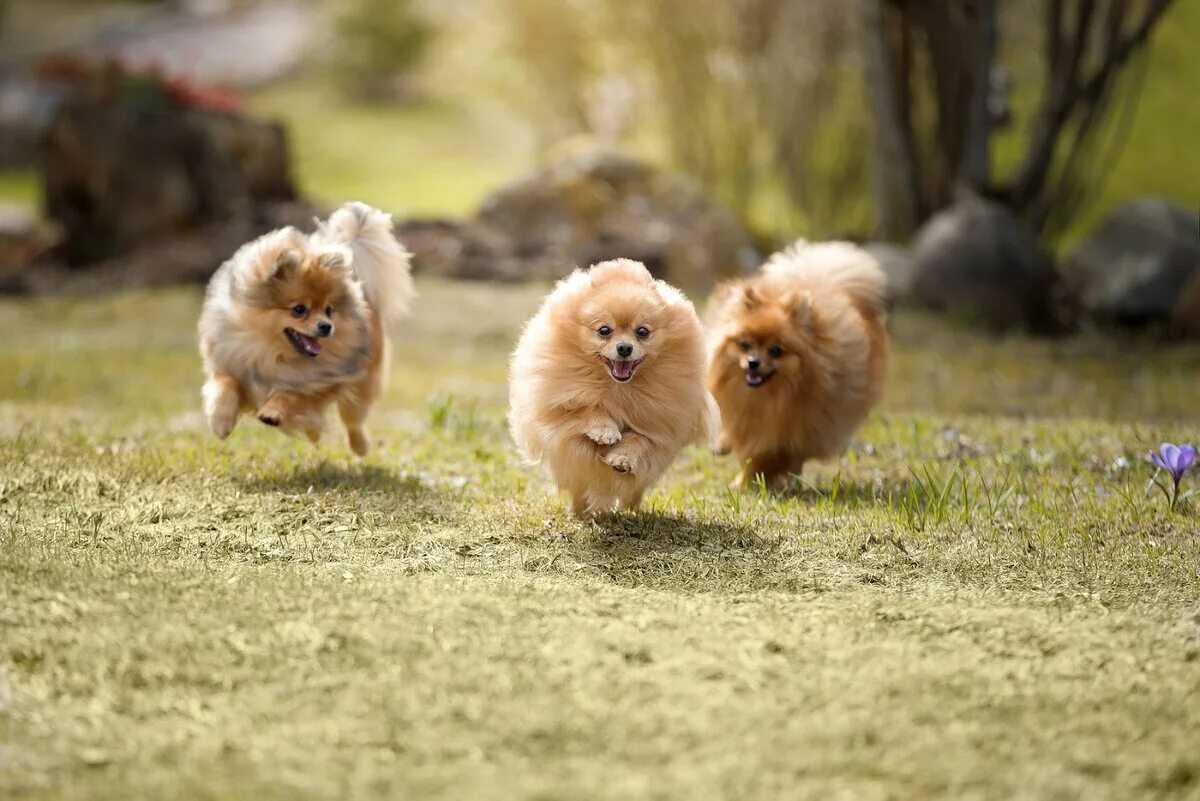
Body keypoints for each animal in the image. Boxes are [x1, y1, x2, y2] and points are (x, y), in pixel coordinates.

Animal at [199, 201, 415, 455]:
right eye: (299, 309)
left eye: (329, 310)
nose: (326, 326)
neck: (272, 353)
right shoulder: (232, 362)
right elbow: (225, 385)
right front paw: (220, 421)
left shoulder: (319, 382)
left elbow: (290, 393)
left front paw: (272, 412)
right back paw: (314, 434)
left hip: (361, 385)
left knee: (353, 420)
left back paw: (359, 446)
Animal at [506, 260, 710, 515]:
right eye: (604, 330)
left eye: (642, 332)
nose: (624, 348)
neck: (617, 388)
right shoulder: (560, 404)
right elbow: (586, 408)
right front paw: (605, 431)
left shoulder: (659, 425)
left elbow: (640, 440)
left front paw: (622, 458)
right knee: (579, 489)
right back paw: (577, 513)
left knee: (634, 490)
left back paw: (631, 512)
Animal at [700, 239, 892, 489]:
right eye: (745, 345)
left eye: (775, 351)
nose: (753, 362)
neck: (767, 399)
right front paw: (730, 456)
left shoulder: (790, 431)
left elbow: (763, 456)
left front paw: (747, 481)